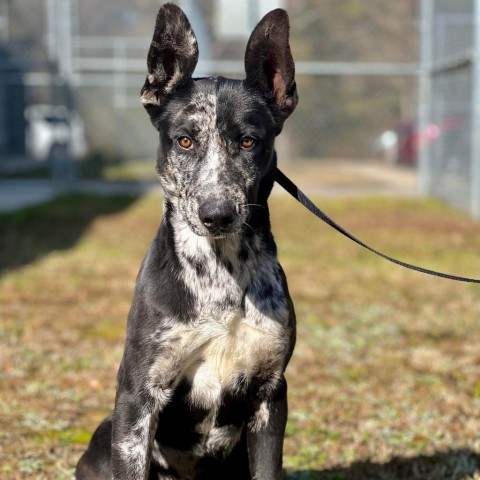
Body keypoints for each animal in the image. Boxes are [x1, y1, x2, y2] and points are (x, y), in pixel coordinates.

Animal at [75, 2, 298, 476]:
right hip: (105, 434)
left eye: (248, 141)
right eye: (185, 140)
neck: (221, 271)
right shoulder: (139, 396)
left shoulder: (271, 394)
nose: (216, 215)